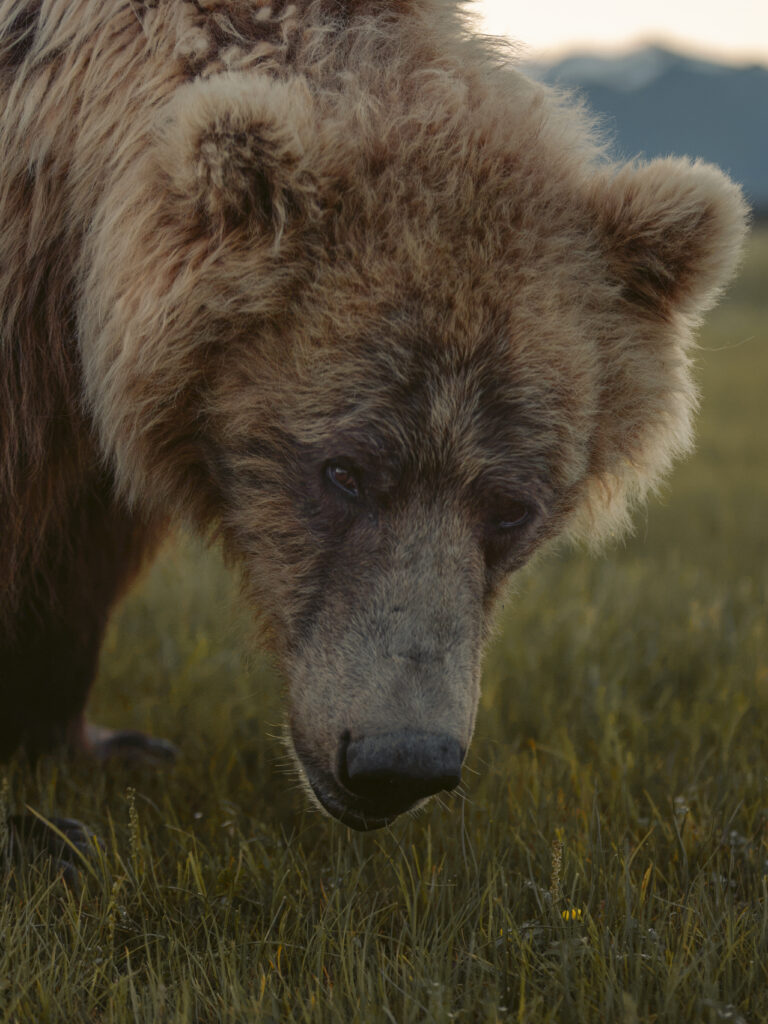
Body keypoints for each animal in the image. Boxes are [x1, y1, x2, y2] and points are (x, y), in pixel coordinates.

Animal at [0, 0, 748, 834]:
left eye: (513, 507)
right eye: (344, 471)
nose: (400, 761)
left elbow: (84, 547)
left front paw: (87, 739)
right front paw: (44, 825)